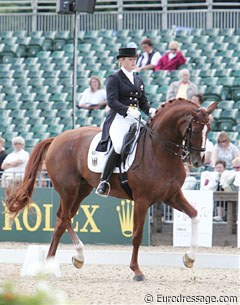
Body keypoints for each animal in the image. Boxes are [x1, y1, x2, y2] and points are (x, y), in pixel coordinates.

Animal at [5, 99, 217, 280]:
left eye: (209, 129)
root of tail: (58, 138)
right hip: (68, 190)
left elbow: (195, 215)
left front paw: (189, 258)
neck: (159, 151)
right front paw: (136, 270)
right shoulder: (142, 201)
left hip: (82, 190)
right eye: (195, 128)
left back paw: (53, 263)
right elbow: (137, 235)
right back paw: (78, 255)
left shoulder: (172, 196)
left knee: (61, 221)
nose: (198, 162)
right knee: (64, 218)